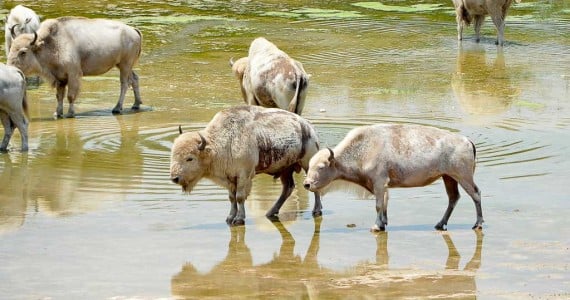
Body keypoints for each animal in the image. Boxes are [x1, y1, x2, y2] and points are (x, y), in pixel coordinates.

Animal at [304, 124, 482, 232]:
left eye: (321, 167)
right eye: (310, 165)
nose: (306, 184)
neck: (363, 149)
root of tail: (467, 141)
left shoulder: (379, 183)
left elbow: (378, 205)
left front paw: (376, 226)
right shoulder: (382, 187)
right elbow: (384, 205)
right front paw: (383, 224)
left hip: (463, 177)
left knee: (475, 194)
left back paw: (477, 224)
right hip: (448, 177)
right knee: (453, 198)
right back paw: (440, 224)